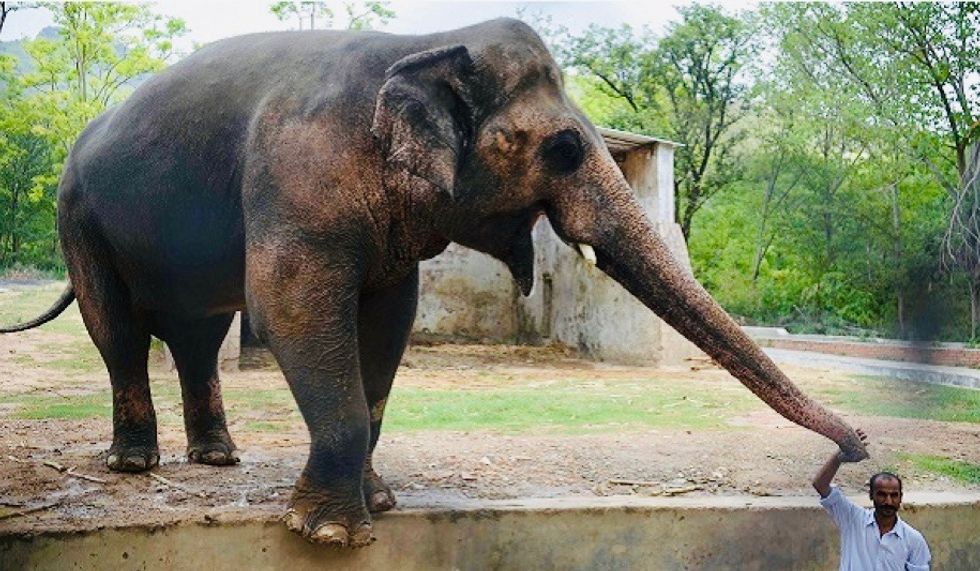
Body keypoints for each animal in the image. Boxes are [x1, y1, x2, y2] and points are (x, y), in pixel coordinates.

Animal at [0, 18, 867, 547]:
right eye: (561, 149)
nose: (858, 444)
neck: (424, 43)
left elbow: (389, 322)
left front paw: (377, 503)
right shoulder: (297, 179)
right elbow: (291, 308)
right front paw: (330, 534)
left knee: (197, 337)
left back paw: (217, 458)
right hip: (77, 217)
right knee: (119, 332)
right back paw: (133, 464)